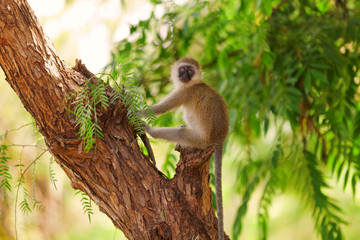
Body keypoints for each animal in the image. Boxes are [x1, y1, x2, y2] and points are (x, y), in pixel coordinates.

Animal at [143, 57, 228, 240]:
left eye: (190, 71)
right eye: (182, 69)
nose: (185, 75)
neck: (192, 84)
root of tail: (220, 137)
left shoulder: (184, 93)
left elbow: (157, 109)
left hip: (200, 140)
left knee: (181, 133)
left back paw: (151, 131)